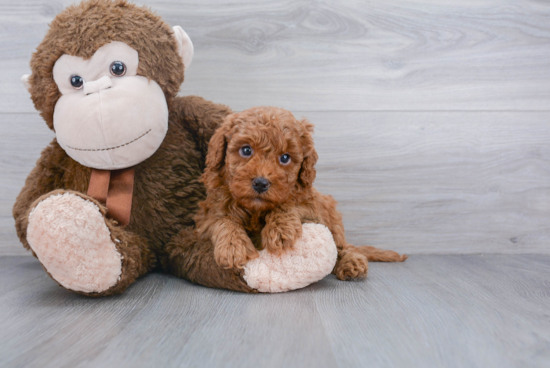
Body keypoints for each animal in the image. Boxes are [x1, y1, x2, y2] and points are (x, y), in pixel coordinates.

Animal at [196, 106, 408, 282]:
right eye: (246, 150)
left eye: (285, 158)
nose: (261, 183)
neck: (256, 210)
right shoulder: (207, 215)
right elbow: (223, 221)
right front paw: (233, 247)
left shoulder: (311, 205)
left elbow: (288, 204)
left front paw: (281, 230)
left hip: (332, 216)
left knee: (342, 248)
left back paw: (351, 263)